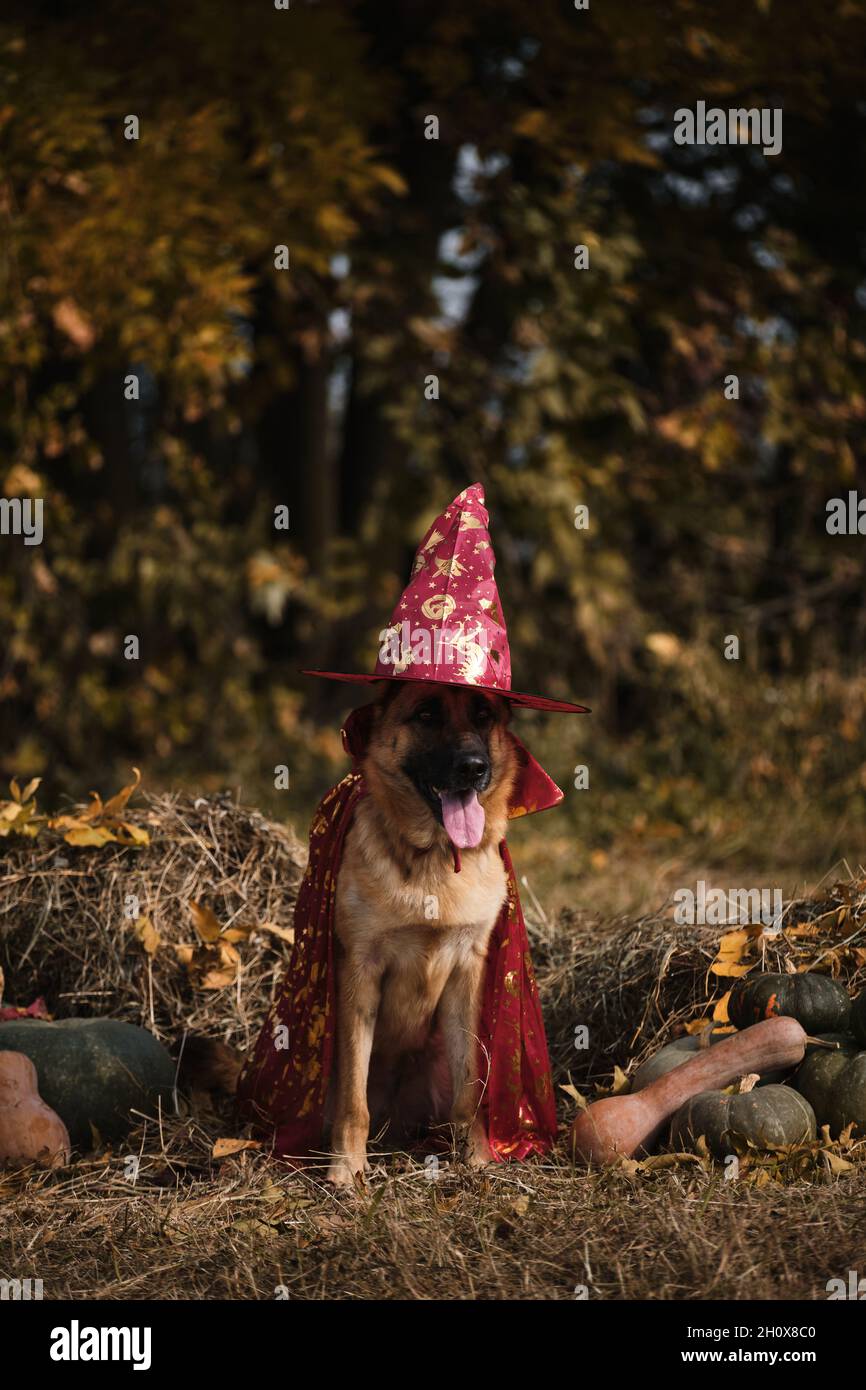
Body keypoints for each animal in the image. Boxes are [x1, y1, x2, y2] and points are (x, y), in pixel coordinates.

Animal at [323, 678, 514, 1189]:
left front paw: (476, 1158)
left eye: (484, 716)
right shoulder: (360, 971)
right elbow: (352, 1099)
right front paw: (346, 1168)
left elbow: (470, 1087)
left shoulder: (467, 973)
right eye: (426, 714)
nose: (474, 768)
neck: (433, 857)